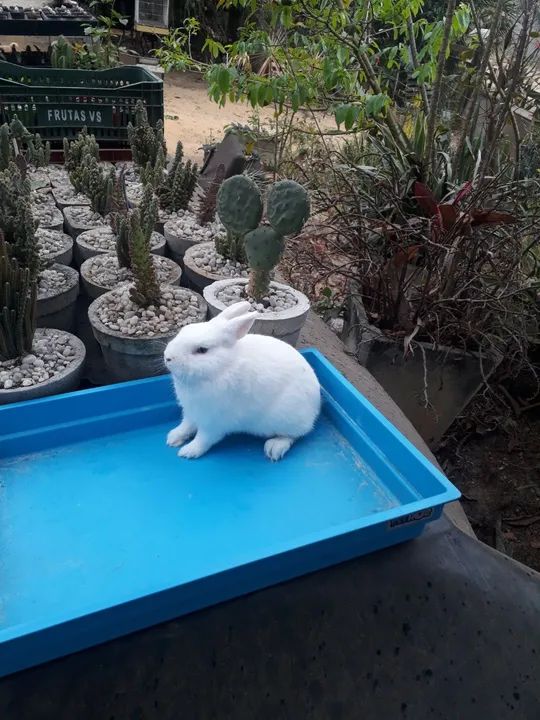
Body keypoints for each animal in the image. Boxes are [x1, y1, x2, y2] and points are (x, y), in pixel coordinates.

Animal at [164, 301, 321, 461]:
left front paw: (188, 451)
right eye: (184, 330)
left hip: (288, 420)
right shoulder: (191, 412)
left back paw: (274, 448)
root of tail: (316, 404)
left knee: (294, 436)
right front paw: (173, 437)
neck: (221, 368)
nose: (167, 357)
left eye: (202, 350)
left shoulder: (214, 421)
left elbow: (204, 438)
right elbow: (186, 425)